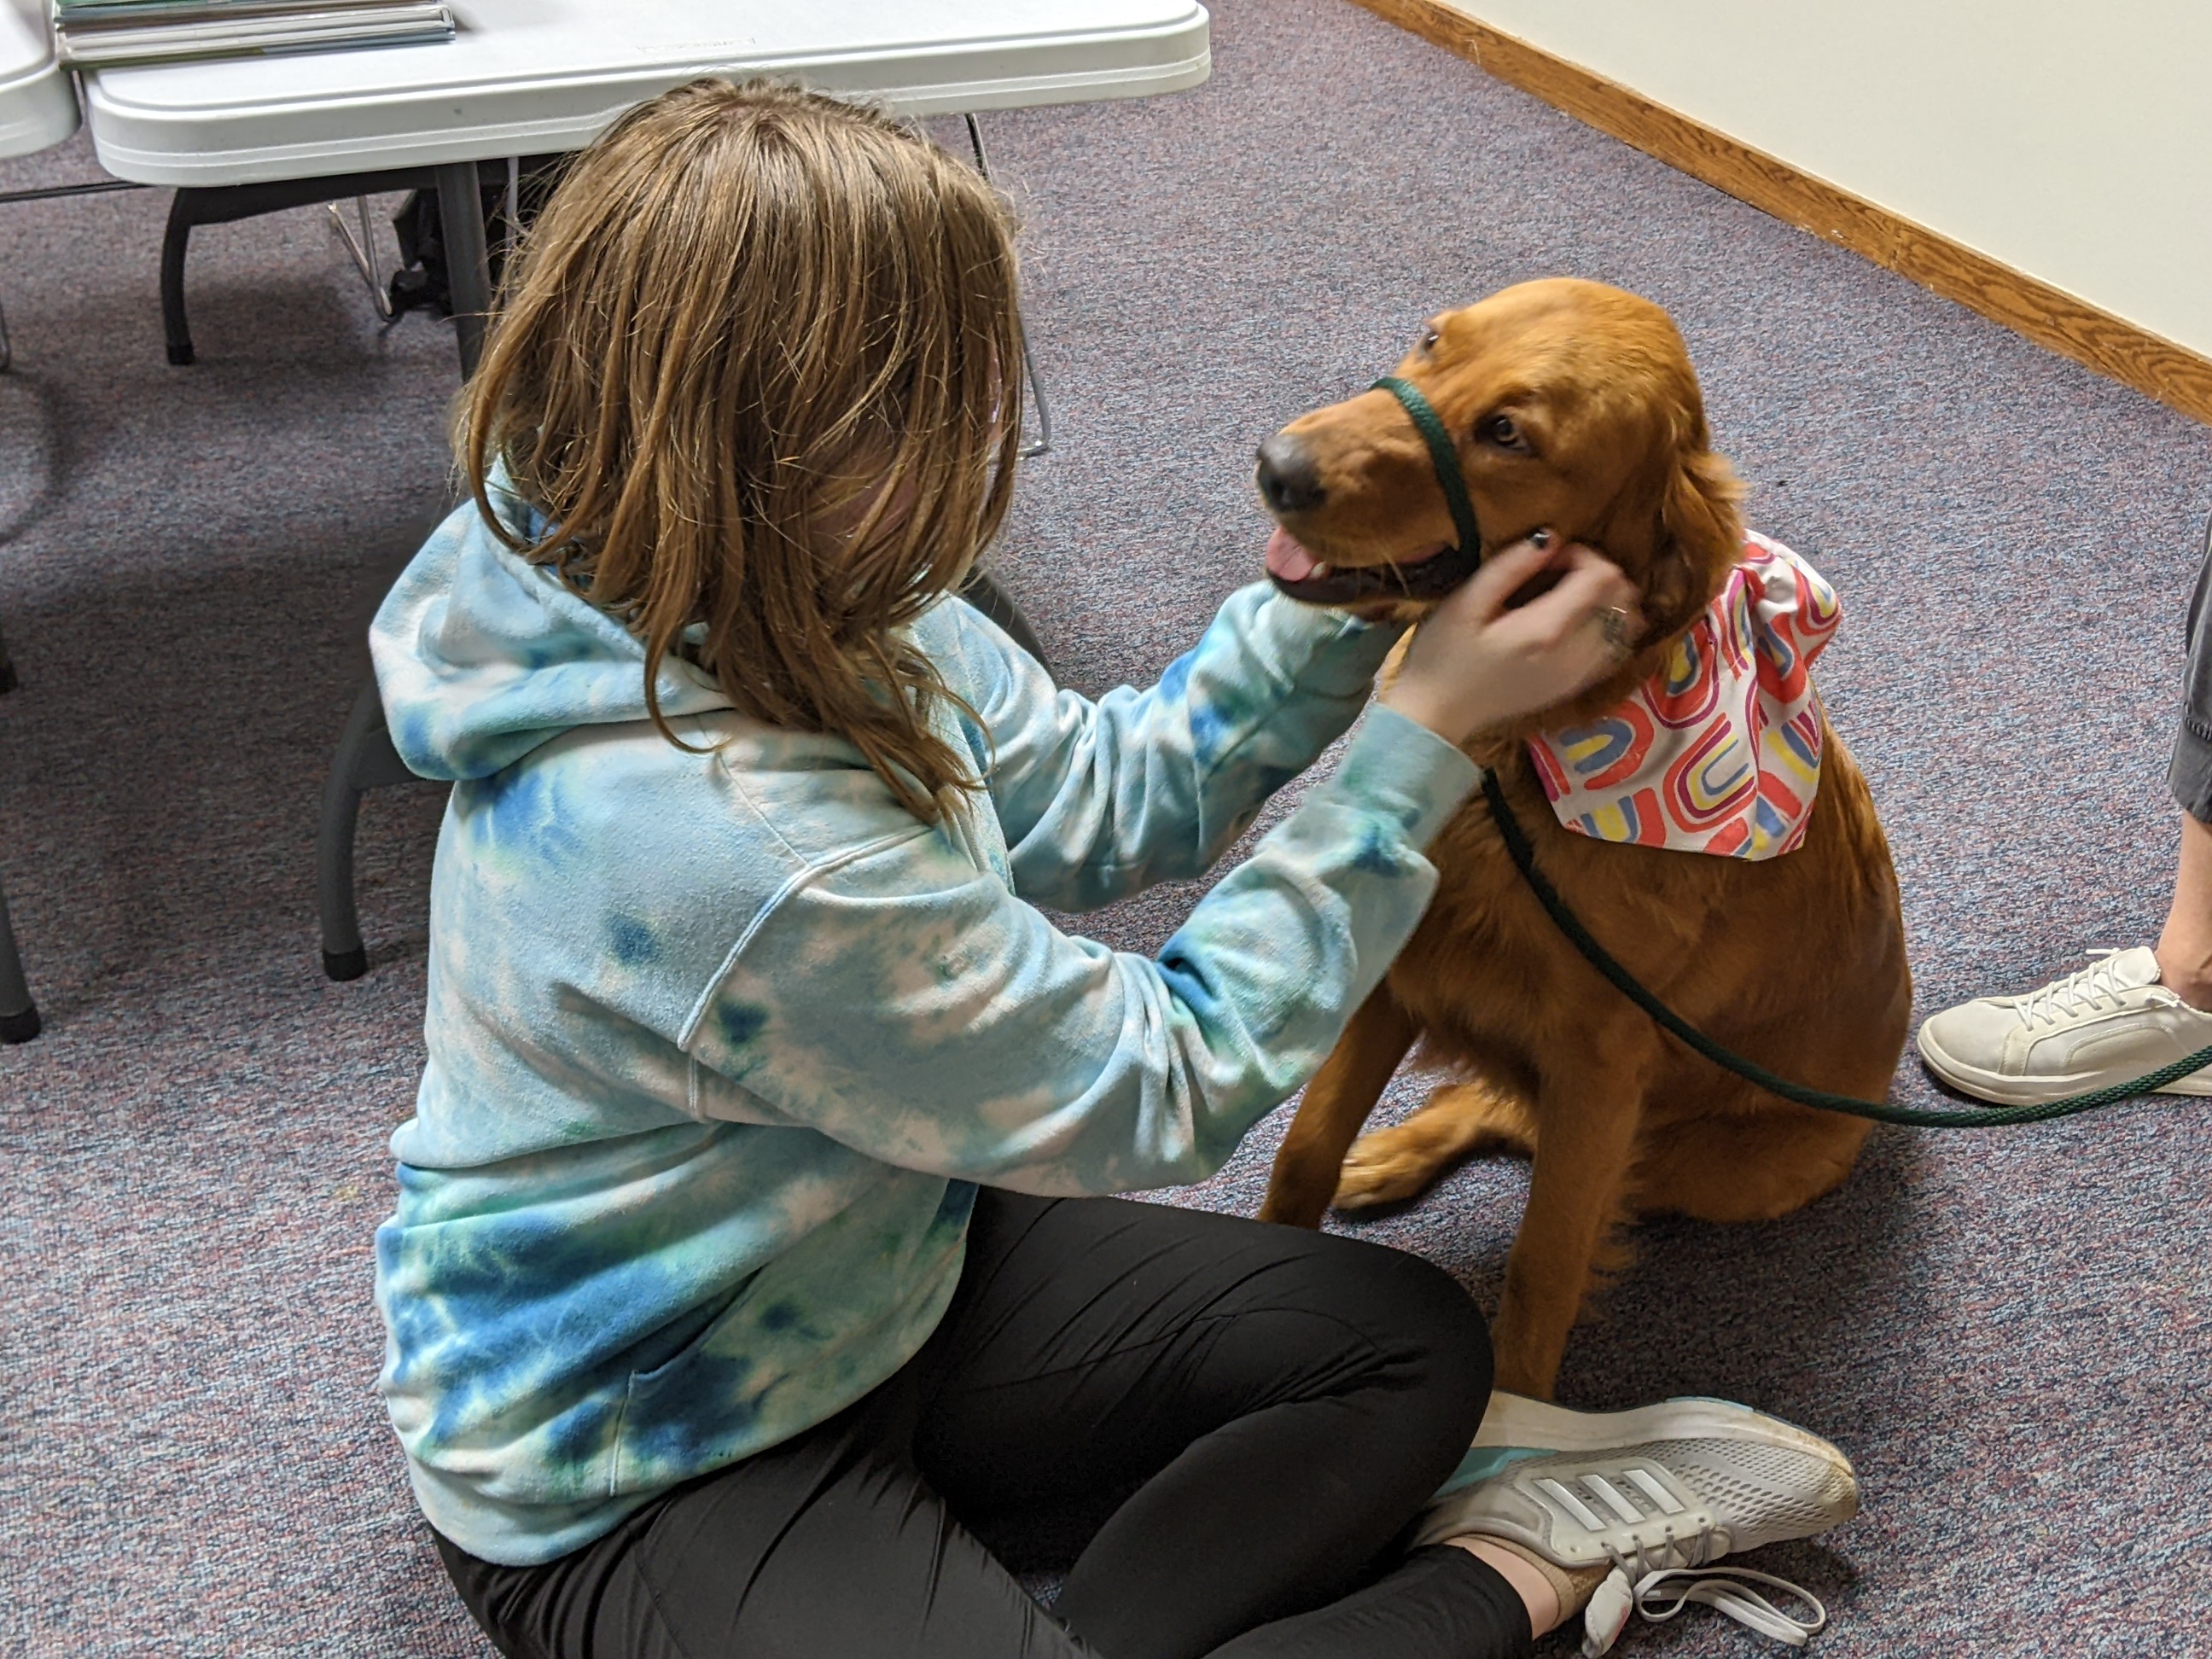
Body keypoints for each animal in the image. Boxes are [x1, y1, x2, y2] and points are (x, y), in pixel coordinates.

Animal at [1256, 279, 1911, 1398]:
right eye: (1432, 341)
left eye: (1508, 434)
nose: (1277, 466)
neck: (1506, 760)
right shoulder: (1398, 966)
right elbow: (1301, 1150)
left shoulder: (1603, 1063)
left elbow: (1545, 1267)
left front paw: (1513, 1420)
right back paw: (1389, 1155)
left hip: (1712, 1160)